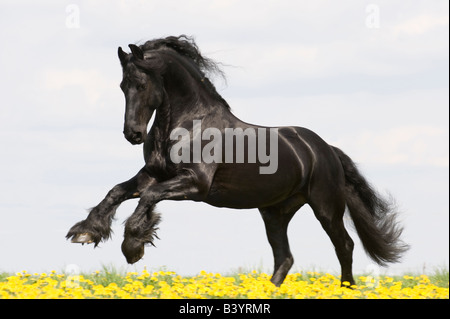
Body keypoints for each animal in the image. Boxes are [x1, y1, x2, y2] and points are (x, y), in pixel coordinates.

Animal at [67, 35, 408, 288]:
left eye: (142, 84)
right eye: (122, 86)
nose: (133, 134)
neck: (189, 124)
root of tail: (324, 149)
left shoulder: (195, 185)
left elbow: (148, 198)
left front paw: (134, 245)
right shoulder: (153, 173)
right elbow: (117, 191)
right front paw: (86, 231)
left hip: (325, 206)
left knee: (344, 246)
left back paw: (345, 288)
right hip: (275, 212)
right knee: (284, 257)